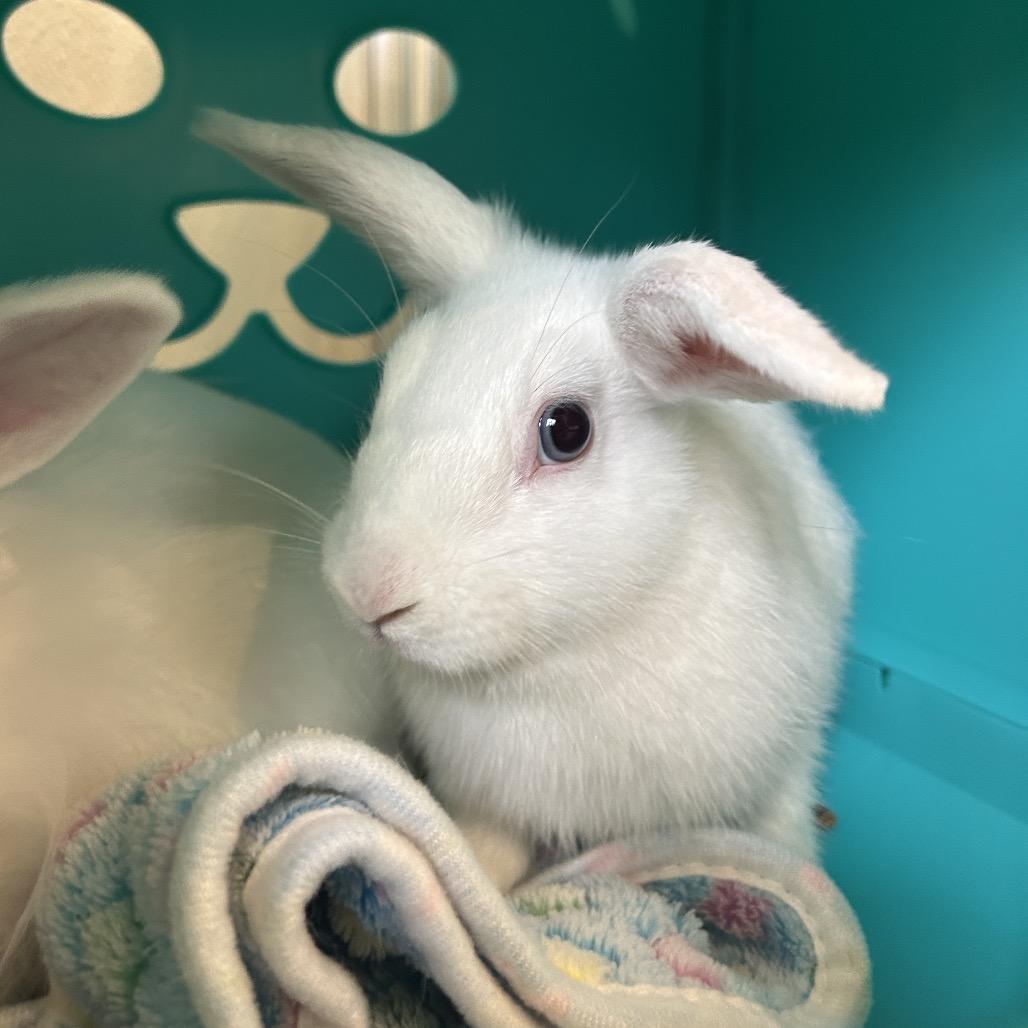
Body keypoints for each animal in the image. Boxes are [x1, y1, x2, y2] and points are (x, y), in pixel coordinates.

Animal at [196, 110, 889, 890]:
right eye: (389, 385)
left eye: (567, 430)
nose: (368, 594)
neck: (566, 655)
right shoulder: (488, 802)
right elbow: (484, 857)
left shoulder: (776, 768)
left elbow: (779, 829)